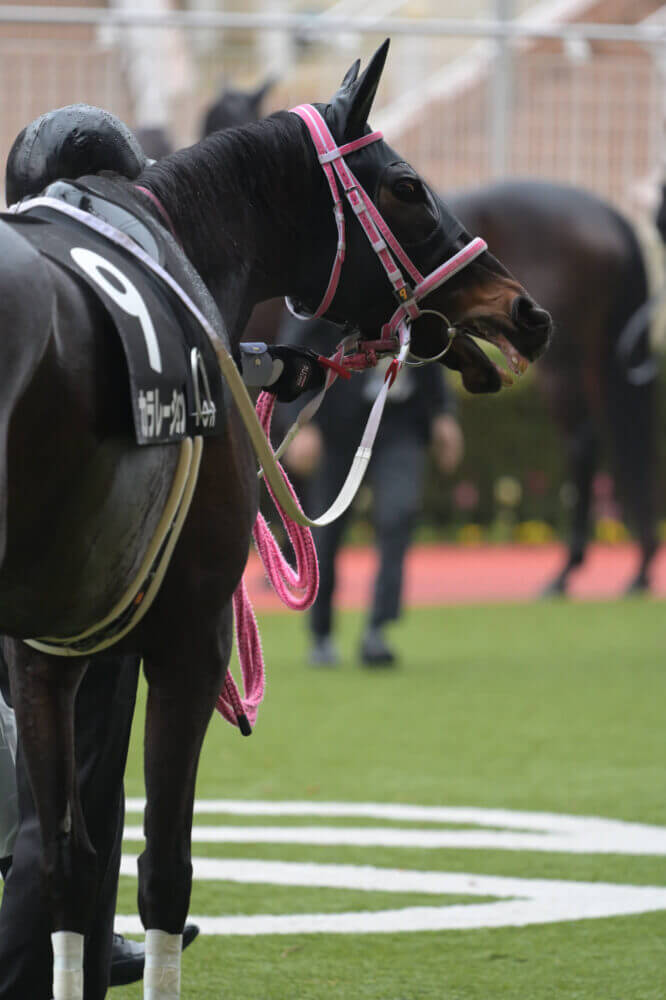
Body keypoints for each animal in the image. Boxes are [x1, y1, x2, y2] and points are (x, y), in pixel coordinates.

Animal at [0, 43, 548, 996]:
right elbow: (162, 872)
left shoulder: (50, 656)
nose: (525, 310)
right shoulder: (189, 639)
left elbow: (69, 864)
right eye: (407, 185)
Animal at [205, 82, 660, 592]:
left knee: (583, 442)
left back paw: (570, 569)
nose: (531, 314)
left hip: (569, 363)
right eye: (408, 188)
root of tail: (610, 214)